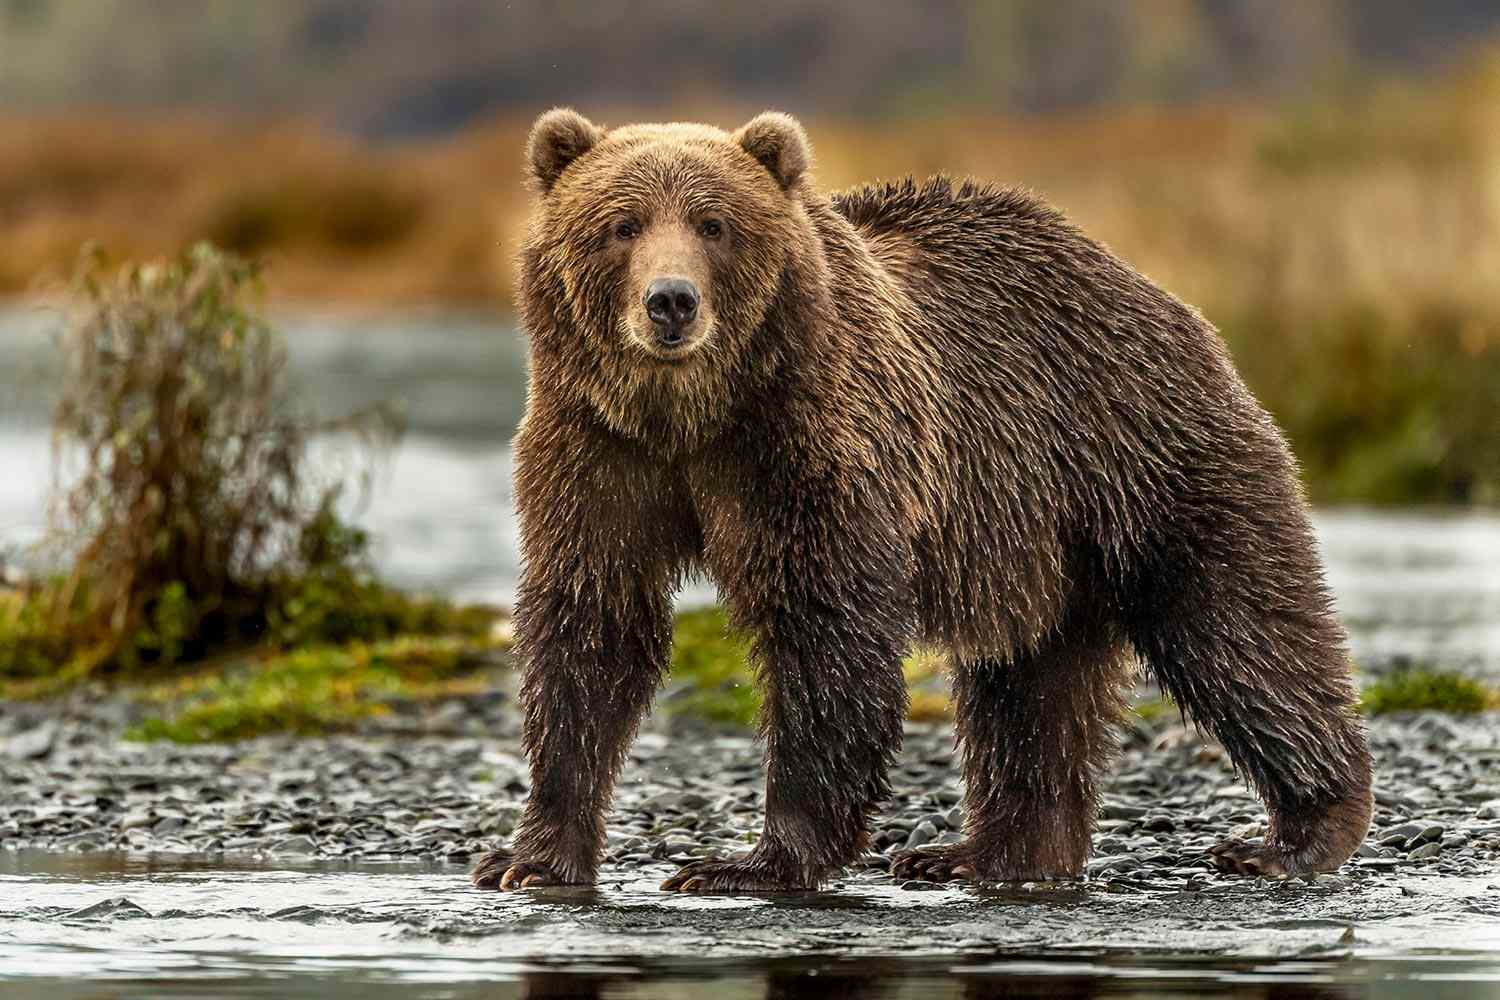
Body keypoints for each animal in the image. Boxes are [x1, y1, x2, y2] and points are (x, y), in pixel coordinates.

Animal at [471, 107, 1374, 893]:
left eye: (714, 224)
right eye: (622, 224)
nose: (670, 302)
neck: (693, 415)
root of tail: (1155, 292)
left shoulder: (809, 446)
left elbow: (824, 628)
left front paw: (750, 862)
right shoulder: (597, 450)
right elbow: (593, 625)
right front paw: (530, 858)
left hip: (1140, 452)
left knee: (1237, 625)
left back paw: (1293, 832)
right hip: (1035, 538)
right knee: (1028, 683)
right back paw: (985, 851)